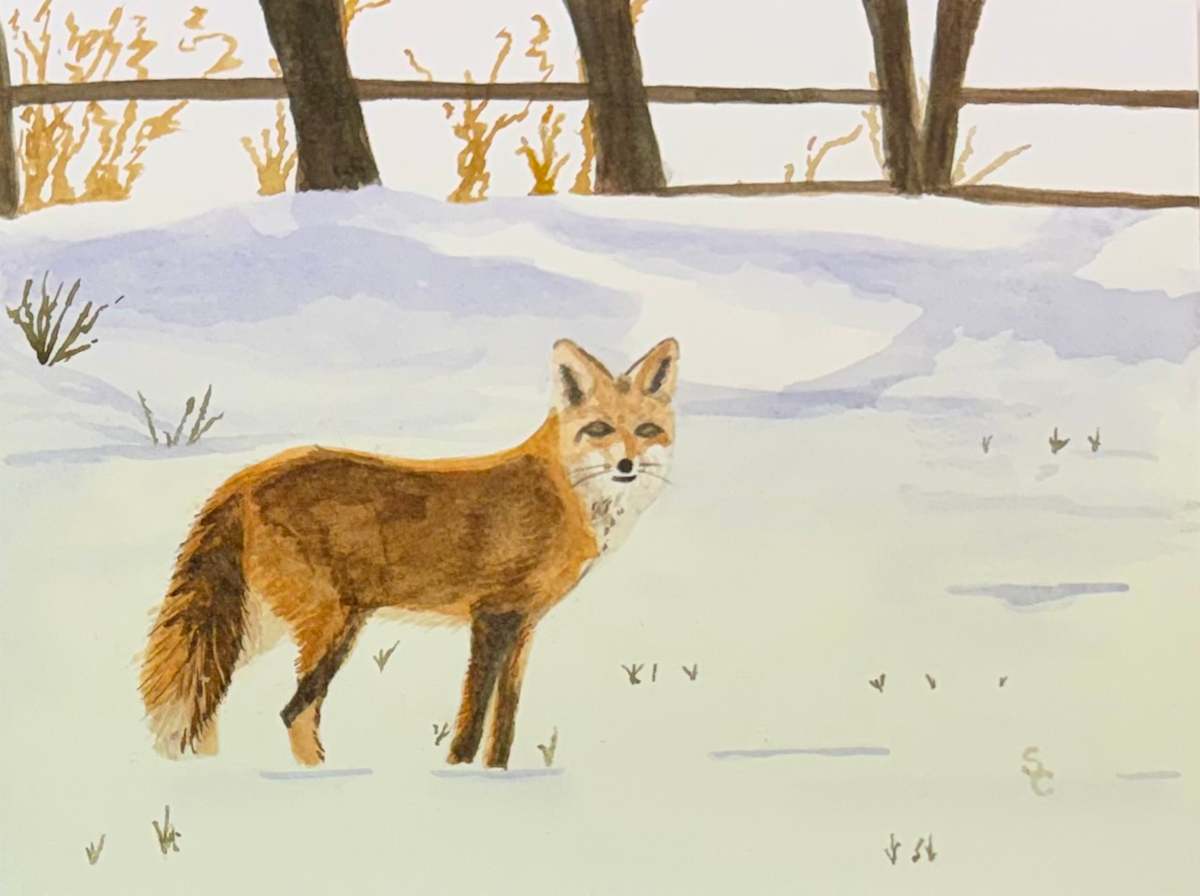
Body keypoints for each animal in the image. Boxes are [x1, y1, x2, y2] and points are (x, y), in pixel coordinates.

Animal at [138, 337, 679, 769]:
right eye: (600, 429)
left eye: (646, 430)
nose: (627, 464)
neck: (566, 493)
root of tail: (247, 477)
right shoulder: (492, 617)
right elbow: (472, 719)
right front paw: (460, 776)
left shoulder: (523, 626)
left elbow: (504, 723)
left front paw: (497, 779)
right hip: (332, 625)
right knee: (292, 710)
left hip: (262, 625)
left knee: (208, 696)